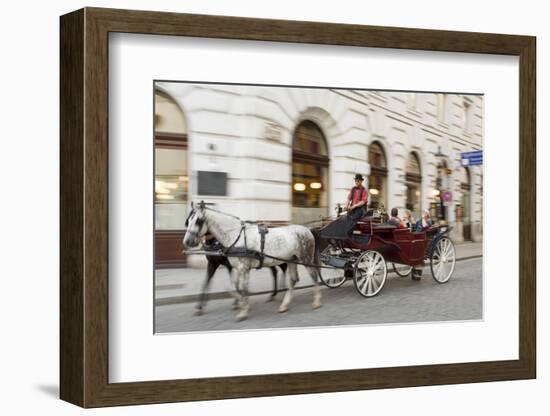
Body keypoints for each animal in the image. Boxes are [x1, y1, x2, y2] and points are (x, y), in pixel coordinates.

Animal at [185, 202, 324, 322]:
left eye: (198, 221)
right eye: (188, 221)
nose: (187, 241)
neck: (236, 236)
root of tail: (308, 230)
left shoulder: (243, 267)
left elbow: (243, 288)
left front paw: (243, 312)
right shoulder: (237, 267)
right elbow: (234, 287)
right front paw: (244, 305)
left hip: (305, 258)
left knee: (314, 274)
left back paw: (316, 302)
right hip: (291, 259)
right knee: (293, 279)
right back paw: (284, 305)